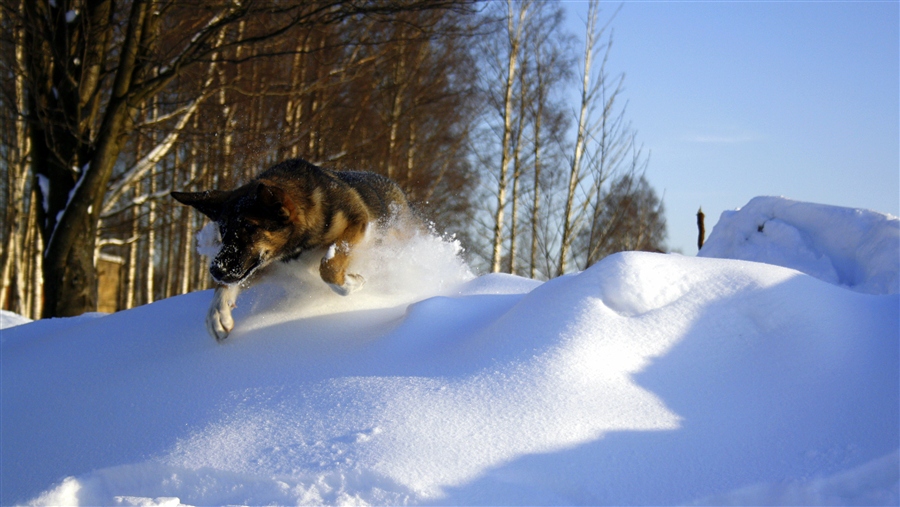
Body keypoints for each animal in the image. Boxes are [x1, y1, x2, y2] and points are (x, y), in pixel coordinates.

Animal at [171, 159, 412, 342]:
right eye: (223, 230)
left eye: (249, 226)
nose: (215, 270)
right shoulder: (268, 265)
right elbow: (225, 288)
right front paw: (217, 314)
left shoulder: (357, 222)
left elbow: (328, 266)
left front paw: (351, 283)